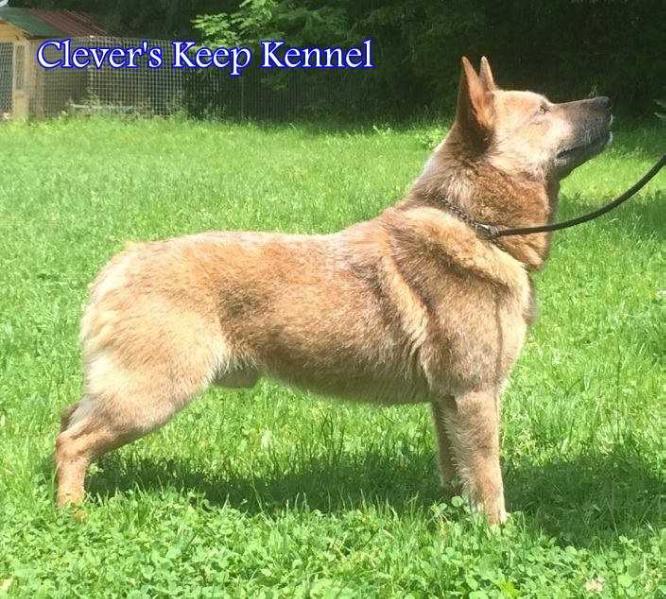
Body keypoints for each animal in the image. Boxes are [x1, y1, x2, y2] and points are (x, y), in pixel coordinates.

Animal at [57, 57, 612, 524]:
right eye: (543, 110)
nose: (608, 100)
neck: (473, 224)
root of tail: (123, 262)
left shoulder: (448, 401)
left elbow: (456, 468)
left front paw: (456, 512)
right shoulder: (476, 394)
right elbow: (488, 474)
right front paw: (496, 532)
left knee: (68, 421)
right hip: (151, 395)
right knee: (71, 441)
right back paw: (72, 511)